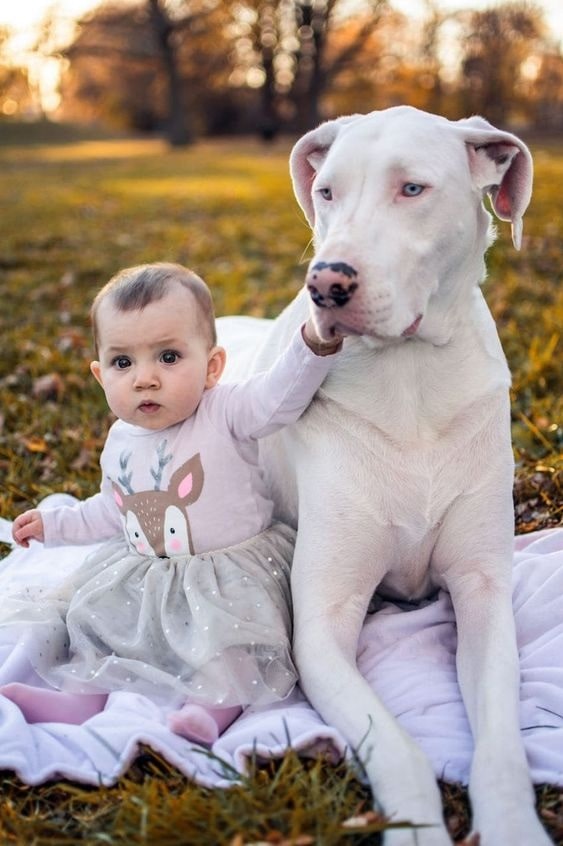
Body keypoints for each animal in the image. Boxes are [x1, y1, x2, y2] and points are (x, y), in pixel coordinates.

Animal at [219, 109, 552, 846]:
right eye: (327, 192)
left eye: (412, 189)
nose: (326, 283)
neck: (409, 375)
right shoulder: (322, 626)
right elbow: (397, 747)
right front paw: (415, 827)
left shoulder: (484, 592)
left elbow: (501, 741)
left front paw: (513, 823)